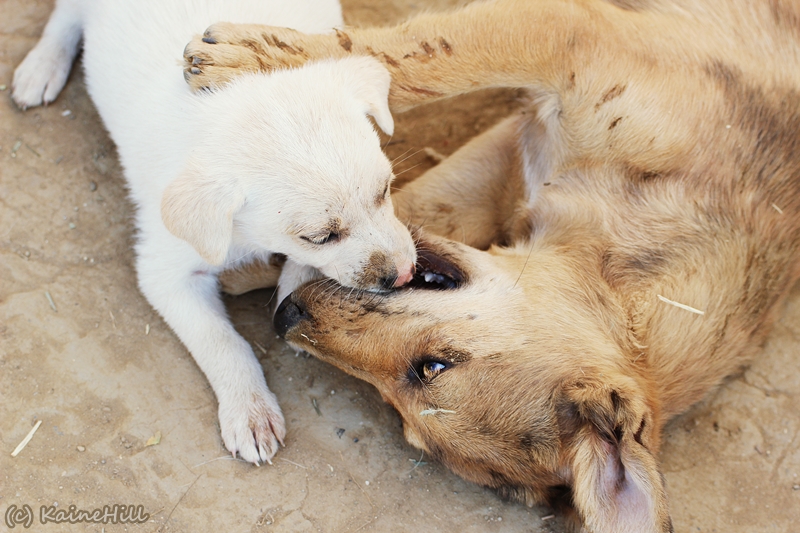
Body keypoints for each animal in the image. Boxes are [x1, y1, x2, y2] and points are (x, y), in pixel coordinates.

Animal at [12, 0, 416, 462]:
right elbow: (223, 343)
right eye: (319, 236)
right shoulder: (167, 273)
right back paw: (41, 66)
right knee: (66, 13)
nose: (404, 274)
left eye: (385, 190)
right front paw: (250, 411)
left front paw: (294, 293)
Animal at [184, 2, 800, 528]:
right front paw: (253, 58)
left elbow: (399, 194)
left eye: (424, 373)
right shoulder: (568, 47)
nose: (283, 319)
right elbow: (419, 56)